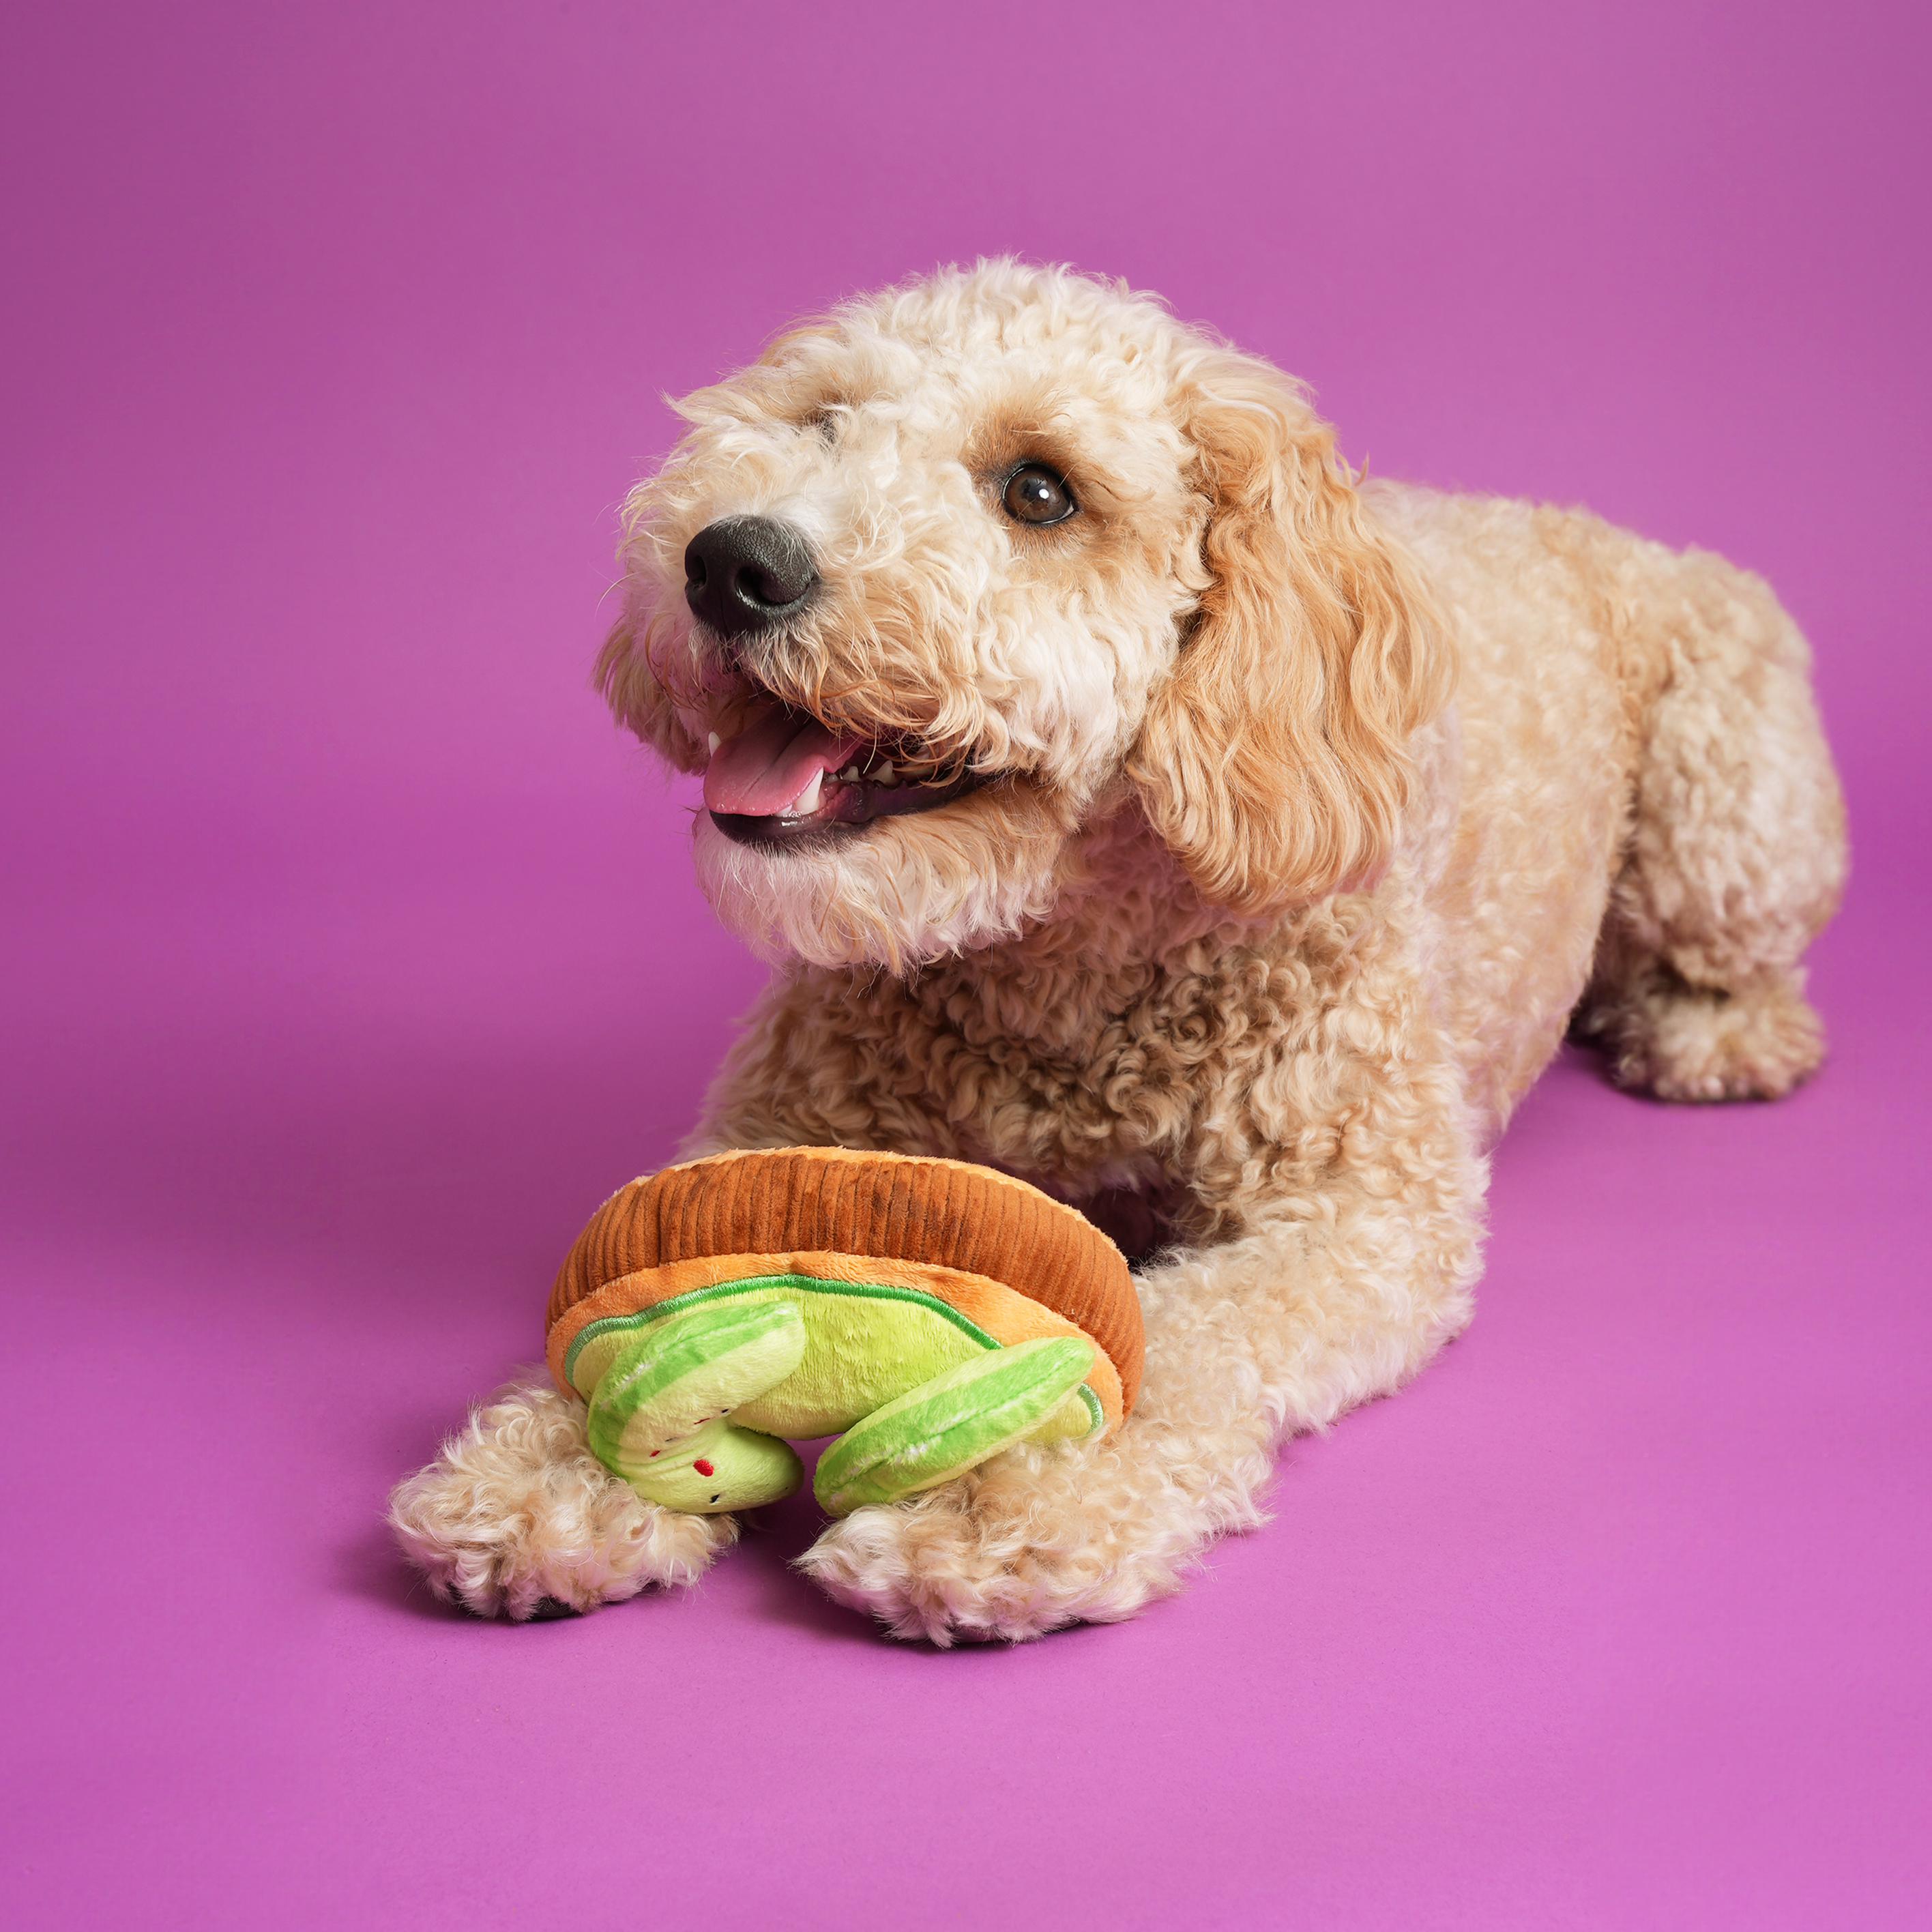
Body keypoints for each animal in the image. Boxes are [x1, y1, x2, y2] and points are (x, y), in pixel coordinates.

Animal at [388, 261, 1839, 1645]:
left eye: (1040, 491)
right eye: (822, 421)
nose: (730, 560)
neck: (1061, 963)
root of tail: (1586, 519)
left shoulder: (1360, 1212)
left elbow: (1182, 1335)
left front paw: (1003, 1495)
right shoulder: (778, 1138)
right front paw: (551, 1466)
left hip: (1728, 803)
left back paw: (1709, 1027)